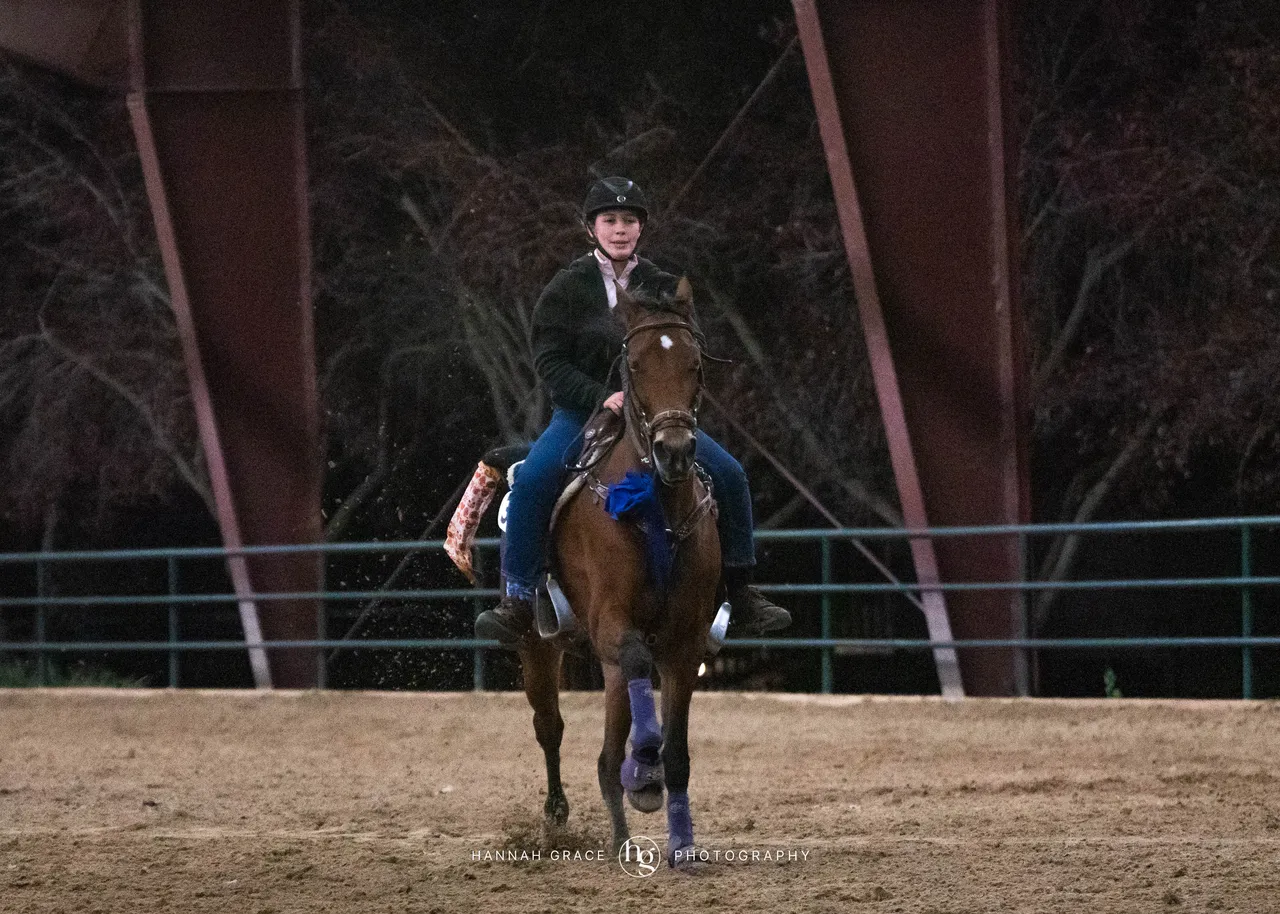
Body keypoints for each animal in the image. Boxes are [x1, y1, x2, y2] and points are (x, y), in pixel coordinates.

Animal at [518, 276, 721, 868]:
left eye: (695, 363)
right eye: (634, 363)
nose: (674, 451)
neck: (656, 513)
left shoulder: (685, 645)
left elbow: (678, 754)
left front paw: (682, 846)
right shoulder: (612, 625)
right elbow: (619, 732)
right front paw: (641, 782)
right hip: (536, 645)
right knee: (552, 728)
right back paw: (565, 819)